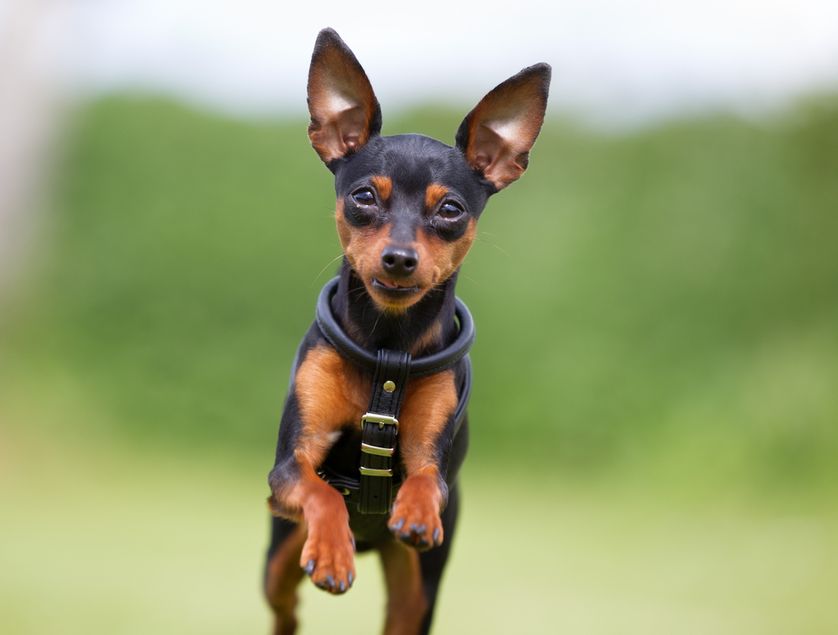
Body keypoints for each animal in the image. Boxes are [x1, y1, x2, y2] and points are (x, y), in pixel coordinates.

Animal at [264, 27, 552, 632]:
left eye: (451, 210)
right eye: (363, 197)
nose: (399, 259)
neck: (387, 351)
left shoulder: (429, 458)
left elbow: (423, 478)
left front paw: (416, 511)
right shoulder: (288, 470)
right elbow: (323, 494)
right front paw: (332, 553)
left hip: (417, 593)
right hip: (277, 557)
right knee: (285, 605)